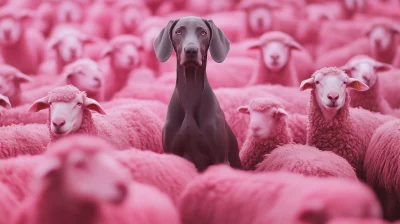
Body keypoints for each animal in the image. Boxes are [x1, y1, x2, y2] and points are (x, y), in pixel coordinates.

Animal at [152, 16, 241, 172]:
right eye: (179, 31)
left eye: (203, 32)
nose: (191, 50)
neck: (190, 91)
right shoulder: (172, 153)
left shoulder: (220, 159)